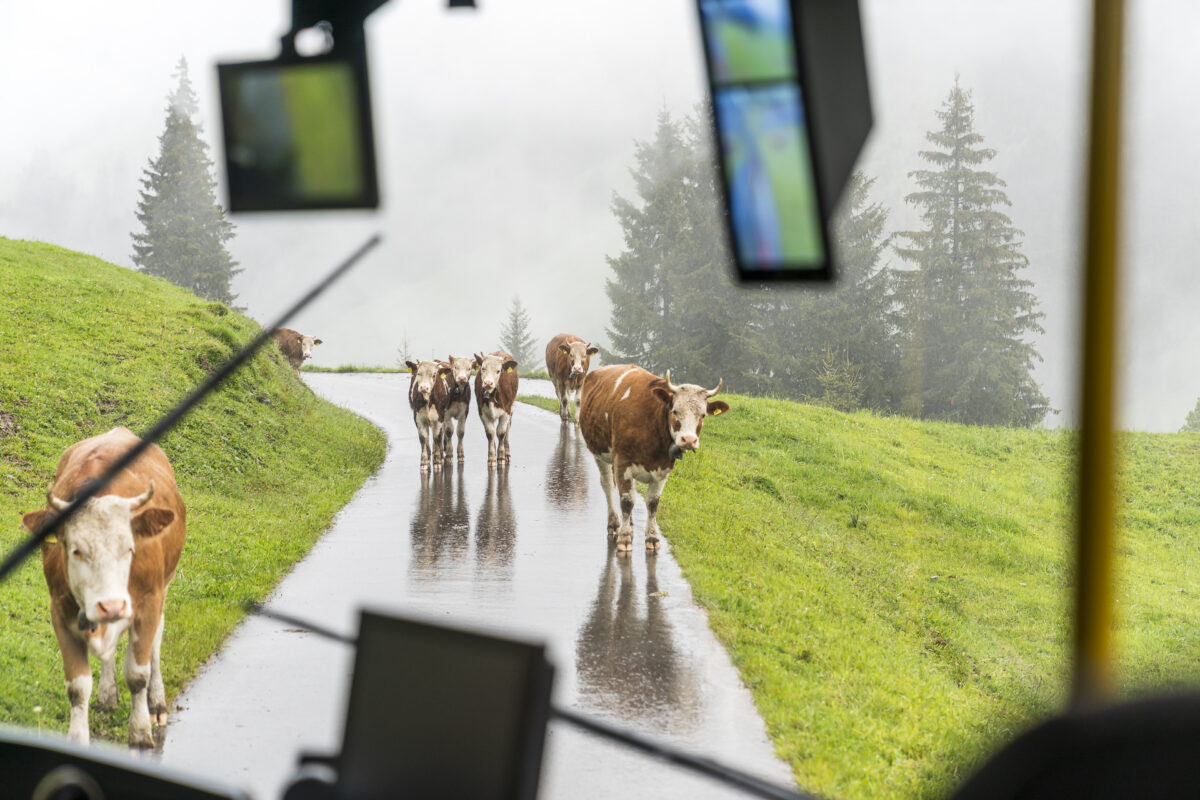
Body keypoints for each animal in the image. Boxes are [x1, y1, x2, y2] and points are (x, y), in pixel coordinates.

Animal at [21, 427, 186, 748]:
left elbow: (137, 673)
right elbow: (77, 686)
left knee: (156, 644)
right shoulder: (59, 610)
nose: (111, 605)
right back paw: (108, 695)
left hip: (164, 587)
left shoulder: (149, 602)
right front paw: (77, 737)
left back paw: (156, 703)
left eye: (130, 548)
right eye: (75, 550)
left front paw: (140, 733)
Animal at [579, 366, 729, 552]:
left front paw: (652, 536)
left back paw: (629, 524)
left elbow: (652, 503)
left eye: (702, 415)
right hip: (600, 453)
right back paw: (614, 523)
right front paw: (624, 538)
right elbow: (627, 501)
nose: (689, 440)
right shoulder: (622, 462)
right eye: (675, 411)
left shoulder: (663, 469)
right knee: (608, 485)